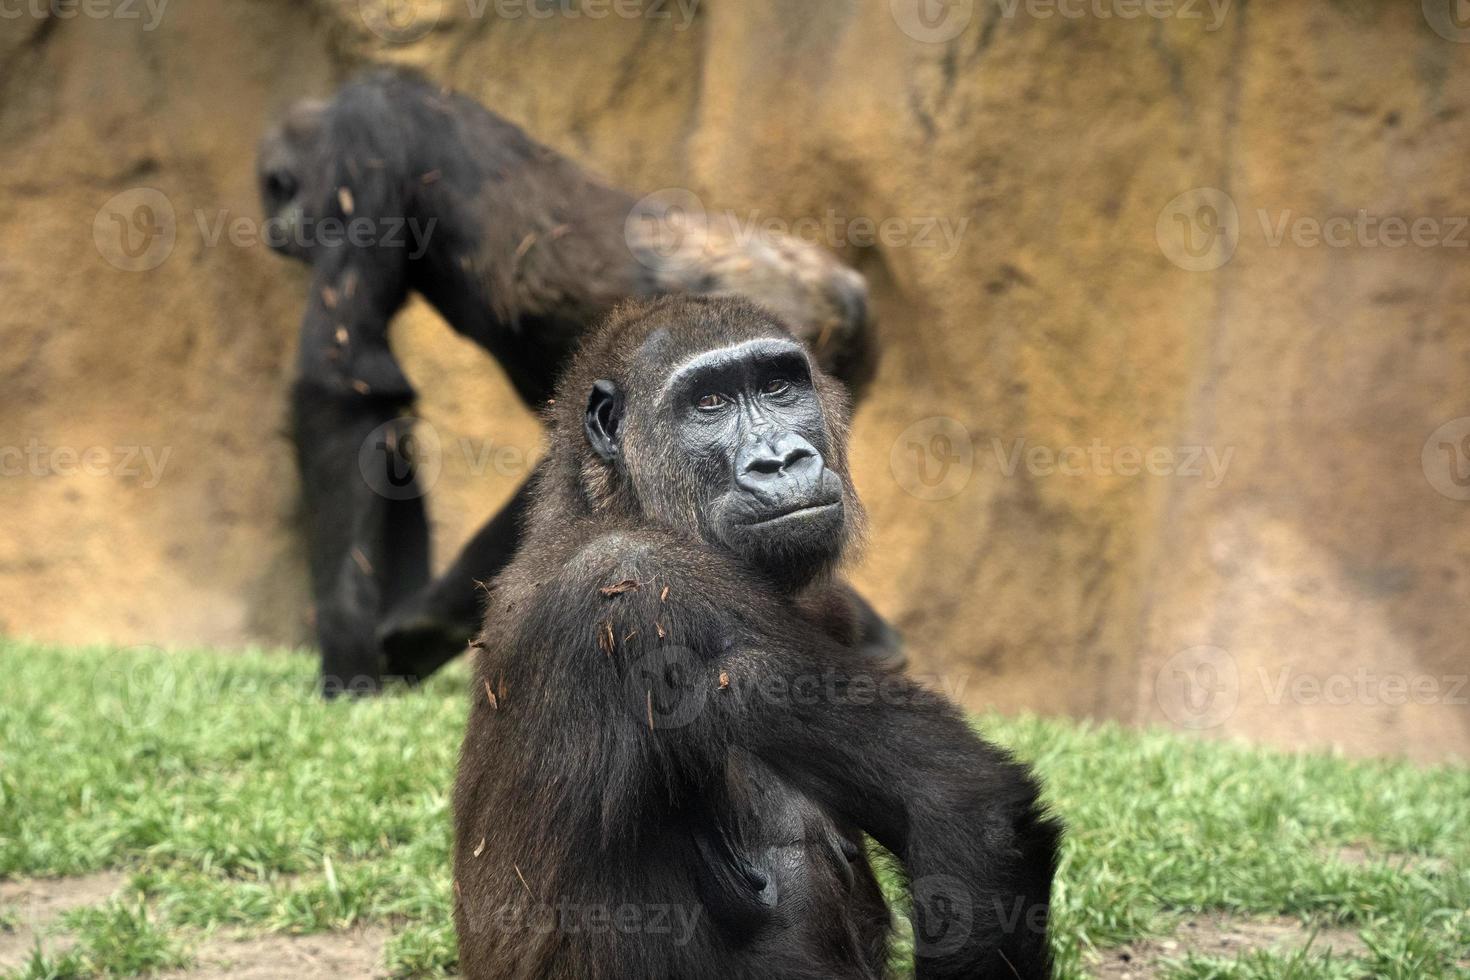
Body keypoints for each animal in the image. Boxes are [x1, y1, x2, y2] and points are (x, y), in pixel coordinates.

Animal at [255, 69, 893, 693]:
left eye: (273, 189)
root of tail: (845, 292)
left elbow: (345, 382)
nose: (270, 231)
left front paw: (348, 654)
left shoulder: (365, 139)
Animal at [452, 296, 1064, 980]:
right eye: (709, 403)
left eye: (777, 386)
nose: (781, 460)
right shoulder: (649, 585)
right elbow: (965, 805)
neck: (606, 501)